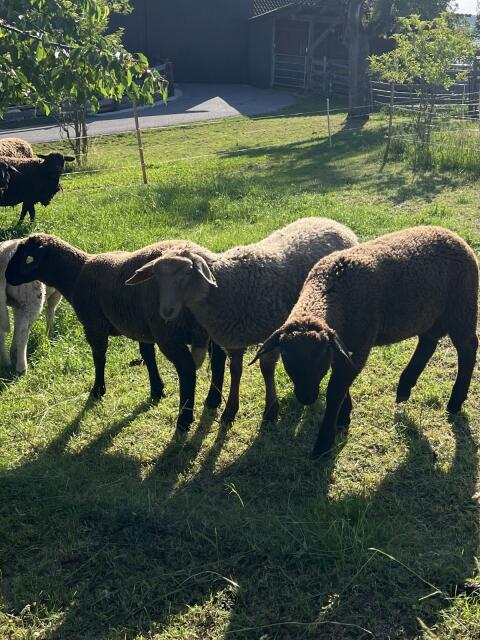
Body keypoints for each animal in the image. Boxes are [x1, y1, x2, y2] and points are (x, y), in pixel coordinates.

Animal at [0, 239, 62, 374]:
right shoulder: (56, 294)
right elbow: (50, 312)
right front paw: (49, 335)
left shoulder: (17, 304)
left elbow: (16, 325)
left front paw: (13, 349)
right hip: (31, 298)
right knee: (23, 331)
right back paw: (22, 367)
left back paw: (6, 362)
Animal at [125, 217, 358, 423]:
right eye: (156, 276)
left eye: (188, 272)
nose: (166, 311)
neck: (227, 285)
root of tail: (334, 223)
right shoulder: (233, 339)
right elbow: (235, 371)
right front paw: (229, 411)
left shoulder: (272, 333)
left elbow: (266, 369)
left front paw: (270, 411)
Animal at [253, 226, 479, 459]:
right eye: (286, 356)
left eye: (321, 356)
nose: (306, 398)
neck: (330, 288)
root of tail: (452, 234)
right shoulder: (342, 344)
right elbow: (341, 384)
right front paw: (344, 417)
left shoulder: (359, 346)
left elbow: (335, 390)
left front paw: (323, 444)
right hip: (430, 313)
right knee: (428, 342)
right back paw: (405, 387)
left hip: (462, 306)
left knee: (468, 347)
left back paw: (455, 401)